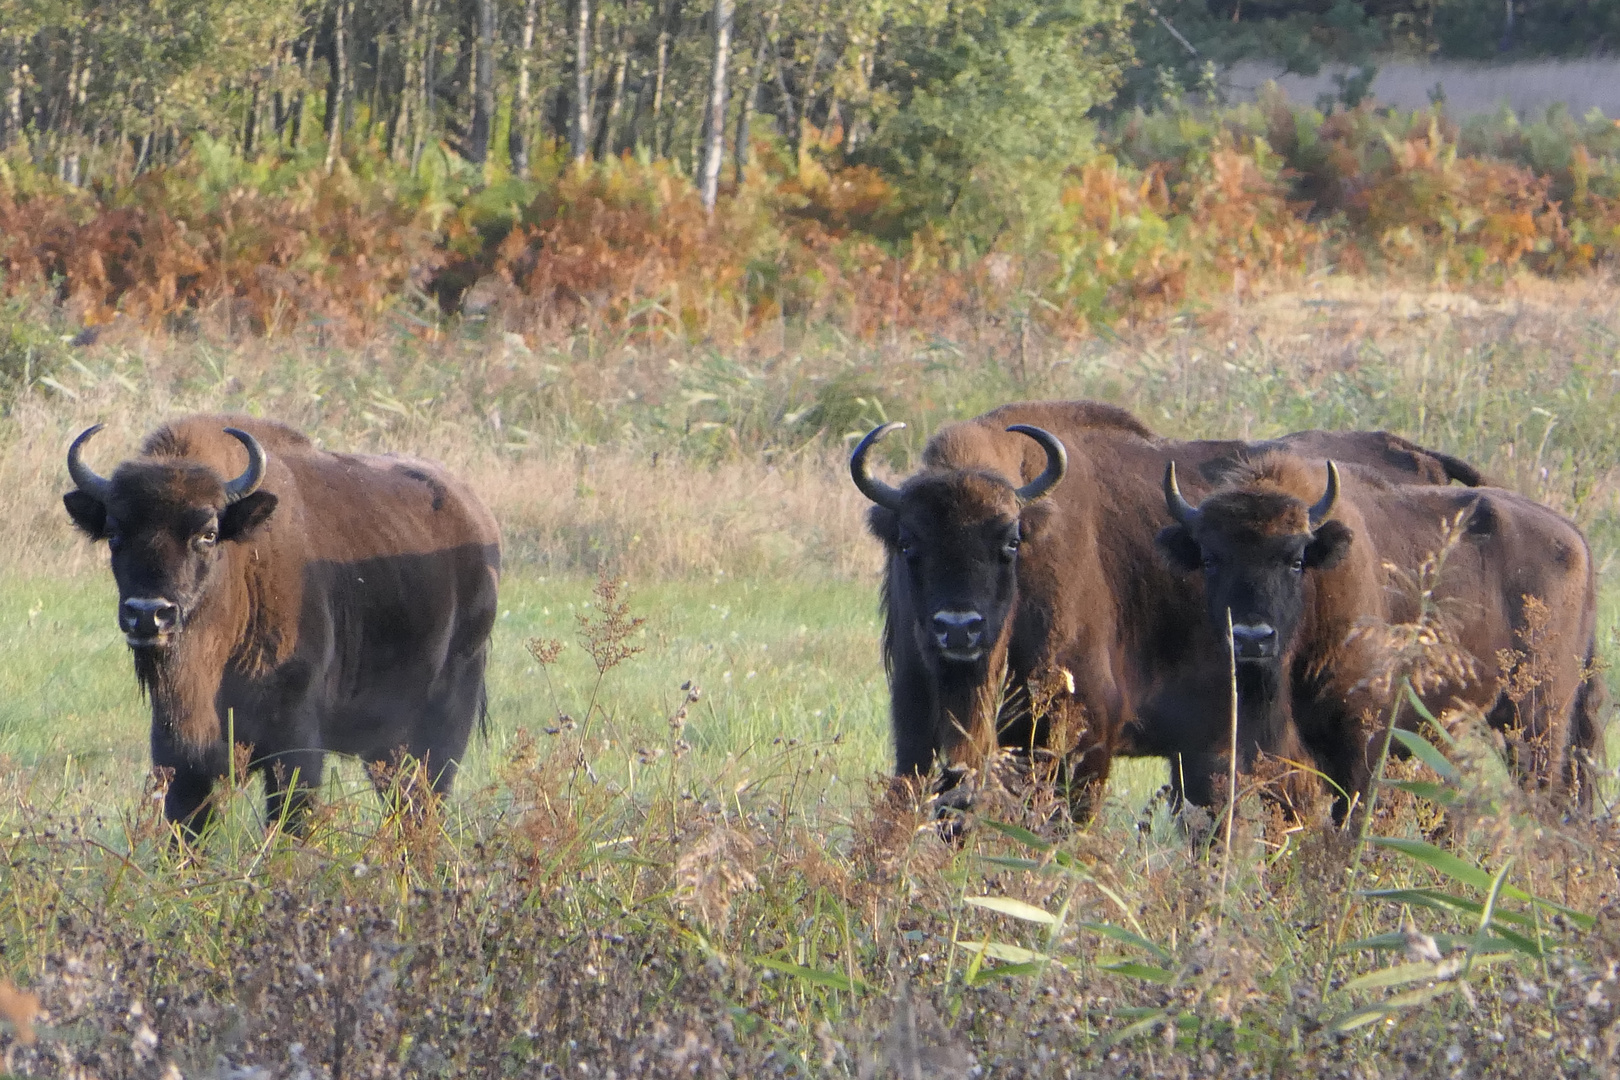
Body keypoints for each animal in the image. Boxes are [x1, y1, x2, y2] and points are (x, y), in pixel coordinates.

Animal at [1159, 453, 1600, 816]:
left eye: (1296, 560)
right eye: (1210, 559)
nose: (1252, 638)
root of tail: (1574, 536)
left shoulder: (1362, 742)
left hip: (1537, 719)